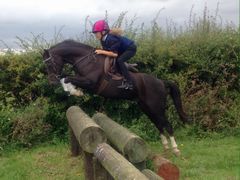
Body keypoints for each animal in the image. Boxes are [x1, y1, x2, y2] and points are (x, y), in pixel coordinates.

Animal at [42, 39, 190, 156]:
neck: (85, 59)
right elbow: (66, 78)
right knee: (158, 124)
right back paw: (166, 148)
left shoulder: (91, 82)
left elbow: (67, 78)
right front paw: (74, 91)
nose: (51, 81)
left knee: (167, 124)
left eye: (49, 64)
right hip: (147, 108)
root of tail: (161, 82)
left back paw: (175, 149)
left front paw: (76, 91)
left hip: (156, 107)